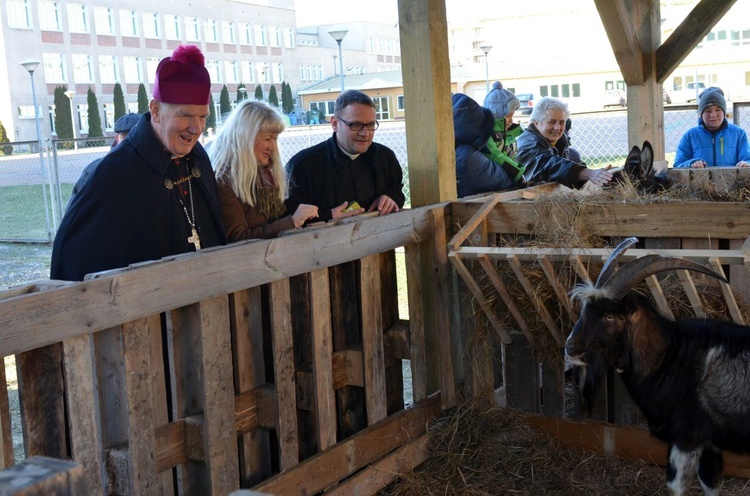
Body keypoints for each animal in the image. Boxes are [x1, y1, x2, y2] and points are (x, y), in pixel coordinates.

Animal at [568, 238, 748, 494]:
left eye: (610, 317)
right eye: (585, 310)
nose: (570, 348)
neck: (670, 357)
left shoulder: (688, 436)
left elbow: (675, 486)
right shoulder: (709, 442)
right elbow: (710, 482)